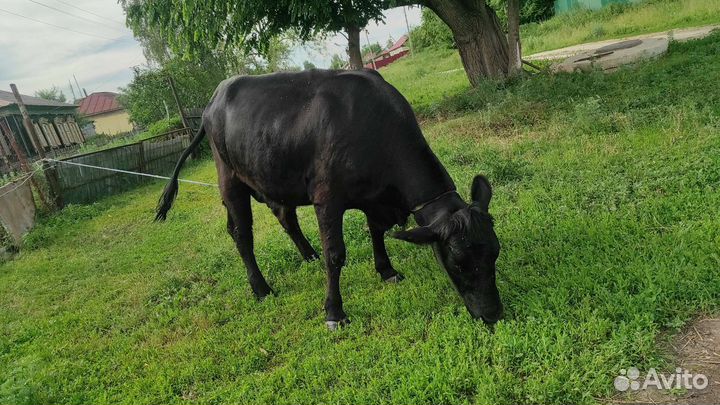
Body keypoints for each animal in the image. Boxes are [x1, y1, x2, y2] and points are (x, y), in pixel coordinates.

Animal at [155, 69, 503, 330]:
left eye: (495, 253)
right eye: (458, 264)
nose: (493, 314)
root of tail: (214, 98)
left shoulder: (373, 199)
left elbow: (376, 232)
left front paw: (387, 271)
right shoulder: (327, 199)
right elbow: (335, 255)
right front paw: (335, 313)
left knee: (283, 216)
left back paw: (307, 255)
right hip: (230, 179)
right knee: (242, 234)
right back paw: (261, 288)